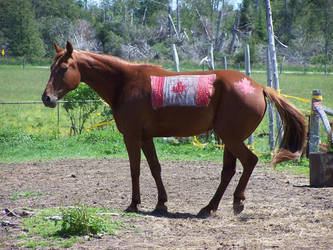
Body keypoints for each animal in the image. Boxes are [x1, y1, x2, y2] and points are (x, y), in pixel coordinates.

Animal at [40, 41, 304, 217]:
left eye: (63, 69)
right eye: (50, 68)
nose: (47, 98)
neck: (125, 83)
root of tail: (259, 87)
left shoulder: (132, 137)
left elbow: (135, 169)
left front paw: (134, 204)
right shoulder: (146, 138)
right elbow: (155, 168)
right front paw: (161, 203)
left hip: (231, 138)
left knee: (249, 161)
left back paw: (237, 201)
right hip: (230, 140)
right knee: (228, 171)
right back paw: (210, 207)